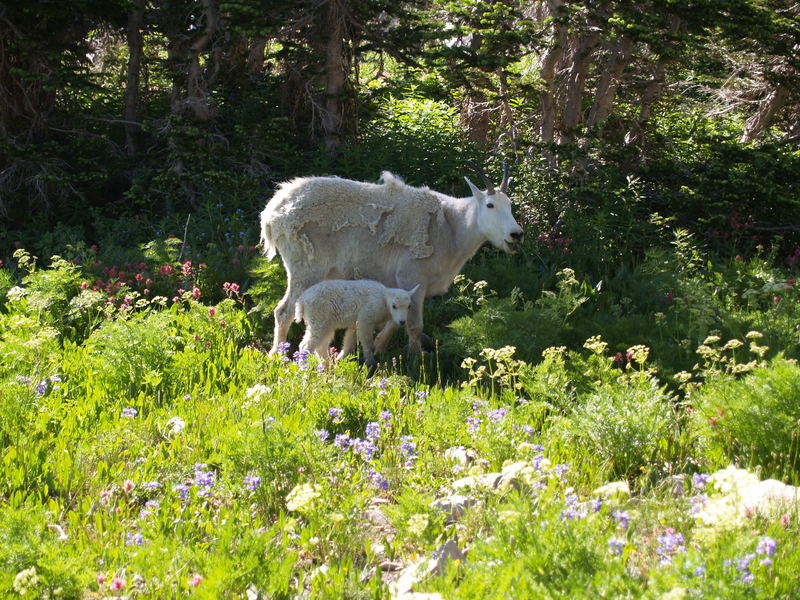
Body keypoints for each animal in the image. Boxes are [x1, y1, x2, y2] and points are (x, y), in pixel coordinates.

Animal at [260, 168, 524, 356]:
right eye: (490, 205)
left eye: (510, 205)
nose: (516, 235)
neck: (452, 227)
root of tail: (272, 214)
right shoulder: (412, 276)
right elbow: (414, 326)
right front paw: (416, 364)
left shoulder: (404, 286)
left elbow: (396, 319)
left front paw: (376, 348)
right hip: (305, 267)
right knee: (283, 311)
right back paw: (277, 356)